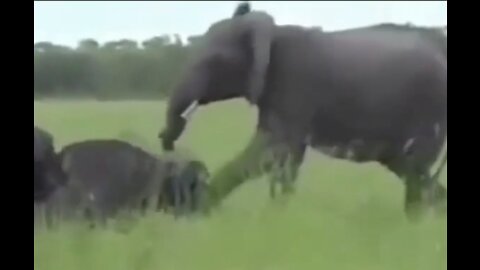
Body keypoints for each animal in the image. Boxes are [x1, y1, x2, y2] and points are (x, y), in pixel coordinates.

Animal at [159, 2, 448, 221]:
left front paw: (197, 210)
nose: (166, 141)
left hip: (427, 107)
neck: (271, 31)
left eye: (214, 61)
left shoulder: (294, 85)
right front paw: (278, 218)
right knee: (410, 169)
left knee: (415, 169)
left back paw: (413, 226)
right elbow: (286, 159)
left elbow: (268, 153)